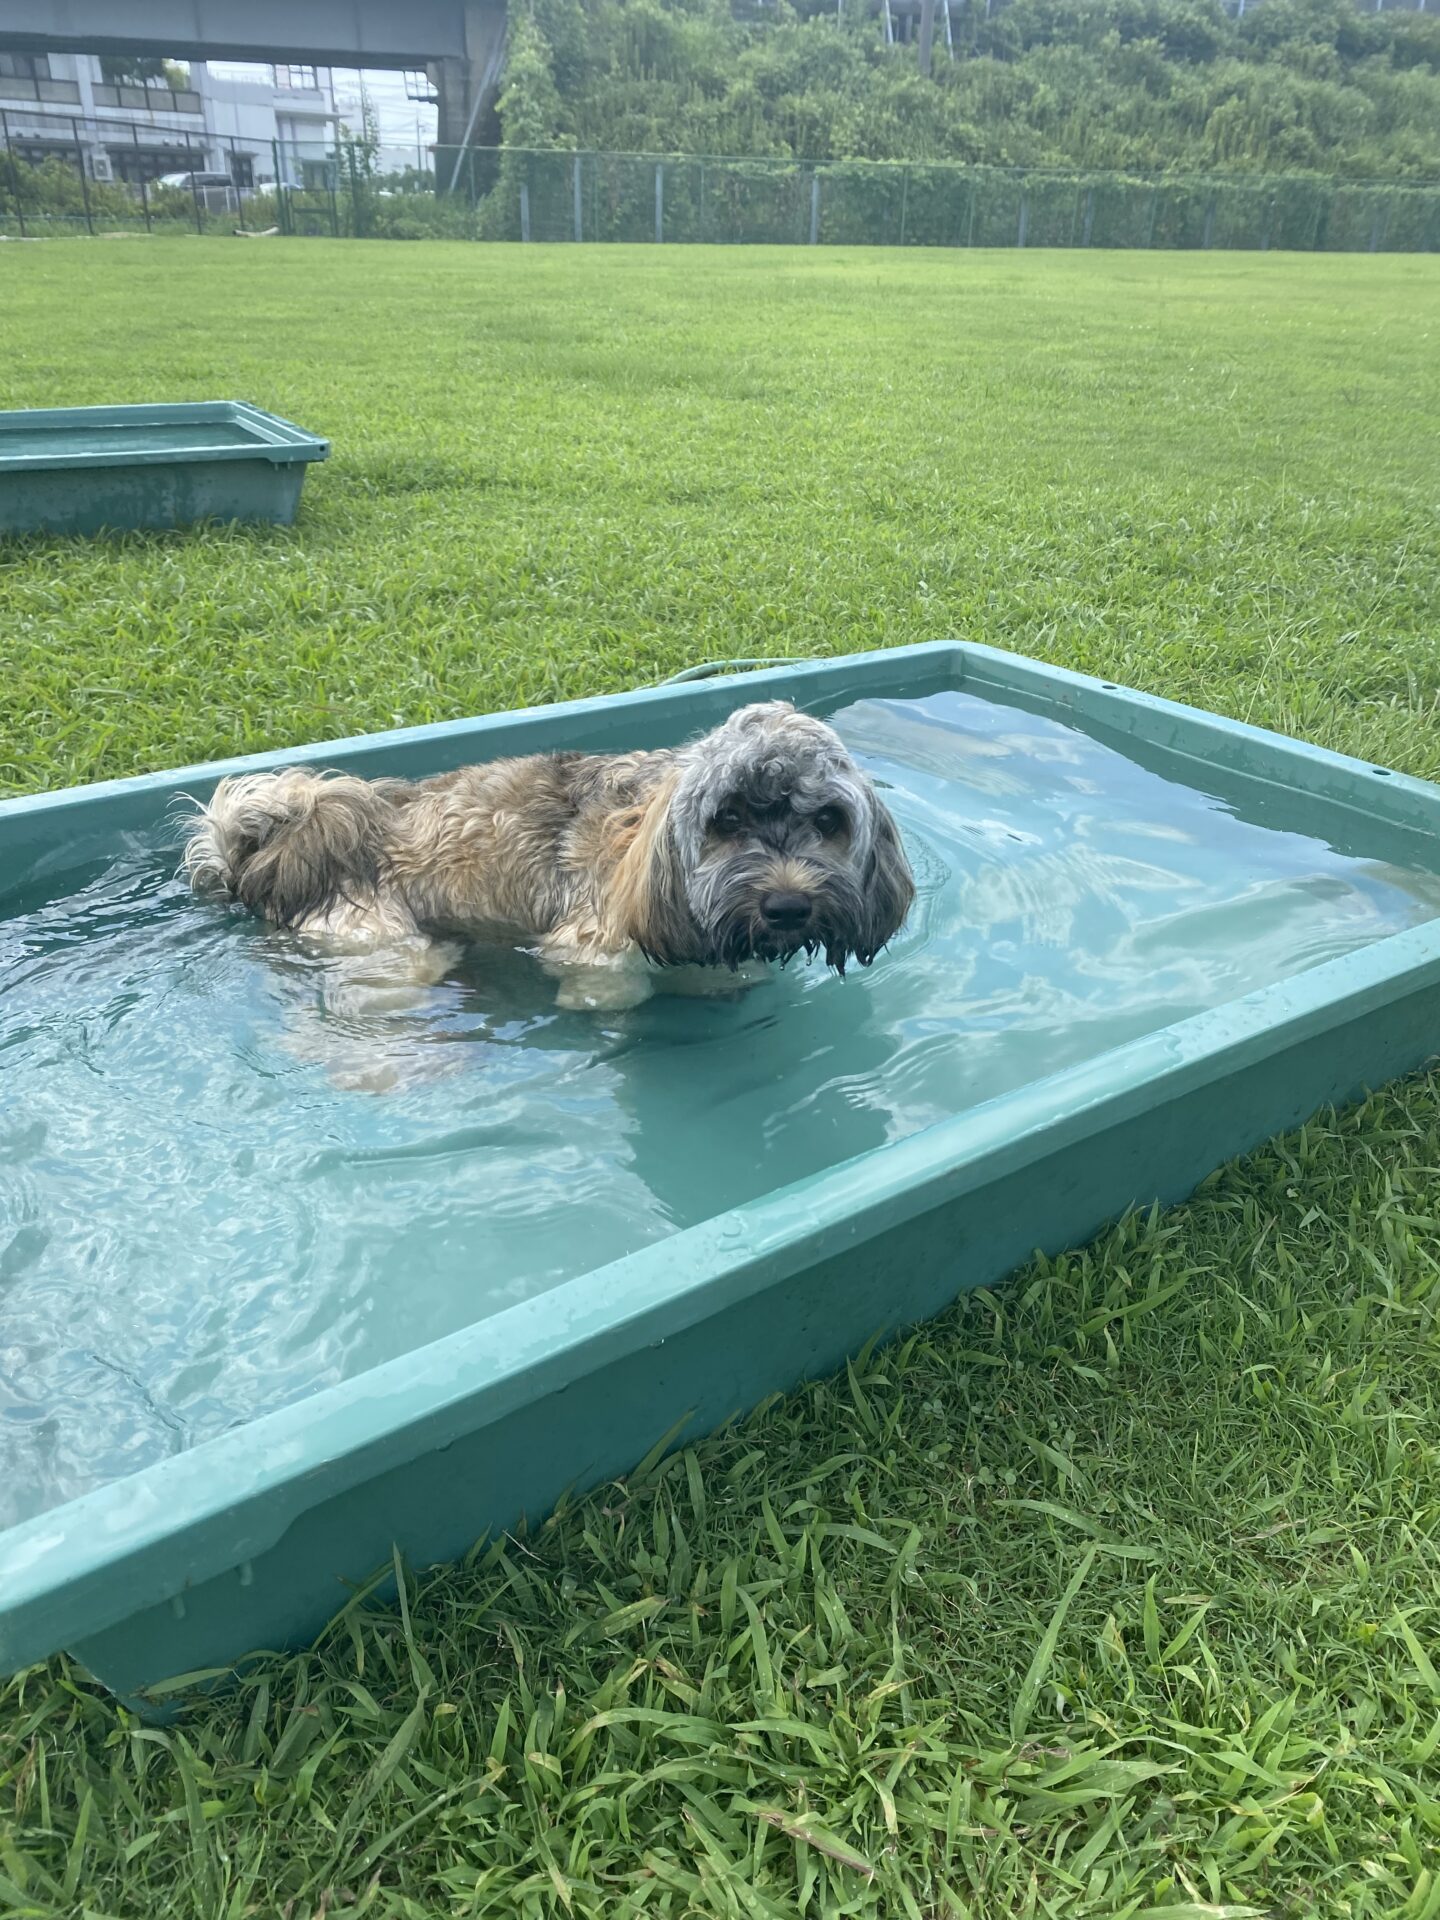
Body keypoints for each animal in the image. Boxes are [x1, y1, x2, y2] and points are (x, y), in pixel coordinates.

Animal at [183, 701, 915, 1013]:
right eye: (726, 819)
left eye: (828, 820)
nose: (788, 905)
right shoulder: (595, 948)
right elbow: (612, 992)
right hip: (384, 945)